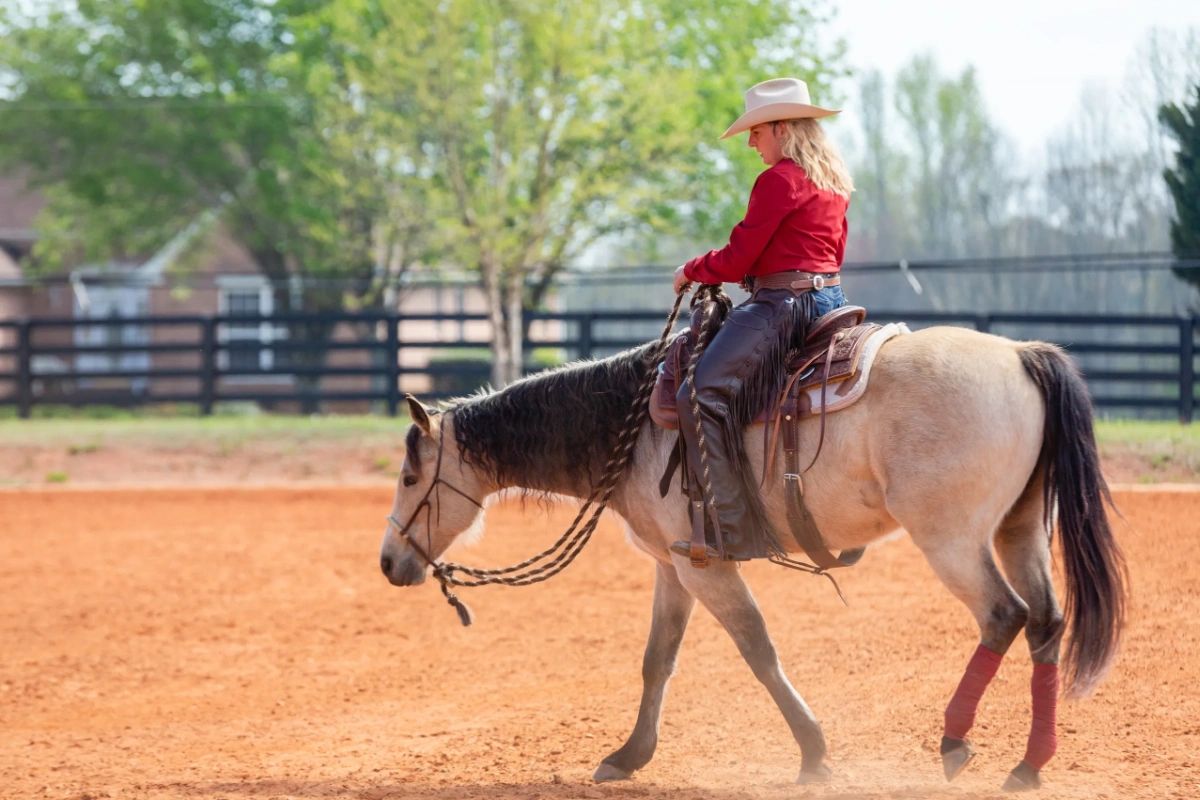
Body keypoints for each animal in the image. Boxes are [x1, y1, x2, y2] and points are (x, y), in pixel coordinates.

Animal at [379, 316, 1128, 791]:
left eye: (411, 476)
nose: (388, 562)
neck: (635, 422)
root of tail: (1020, 354)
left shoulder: (705, 566)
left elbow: (757, 649)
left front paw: (815, 754)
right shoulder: (673, 564)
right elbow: (657, 660)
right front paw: (629, 756)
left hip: (951, 538)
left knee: (1003, 615)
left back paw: (954, 740)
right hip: (1018, 528)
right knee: (1045, 623)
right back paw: (1028, 766)